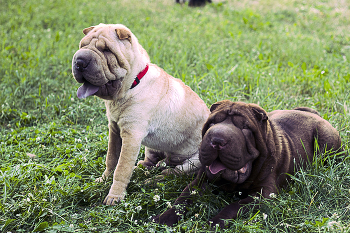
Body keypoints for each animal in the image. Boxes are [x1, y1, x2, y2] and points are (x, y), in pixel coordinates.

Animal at [71, 23, 208, 205]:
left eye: (106, 50)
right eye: (82, 45)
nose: (79, 61)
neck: (132, 85)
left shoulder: (131, 136)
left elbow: (121, 168)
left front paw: (114, 196)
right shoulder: (114, 129)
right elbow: (112, 158)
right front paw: (104, 179)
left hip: (193, 162)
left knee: (171, 173)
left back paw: (150, 181)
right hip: (151, 148)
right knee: (152, 162)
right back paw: (143, 169)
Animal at [156, 100, 342, 228]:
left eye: (245, 128)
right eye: (212, 123)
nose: (217, 140)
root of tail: (315, 114)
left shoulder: (263, 194)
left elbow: (234, 207)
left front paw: (214, 223)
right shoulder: (200, 181)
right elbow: (182, 200)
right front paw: (161, 219)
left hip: (326, 141)